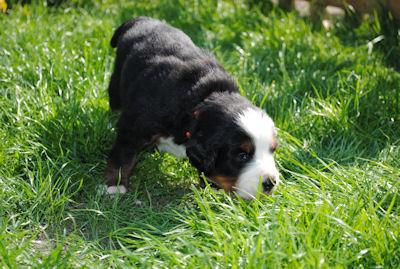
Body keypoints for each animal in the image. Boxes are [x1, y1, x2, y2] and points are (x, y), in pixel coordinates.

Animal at [104, 16, 280, 197]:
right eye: (242, 156)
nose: (271, 182)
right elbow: (123, 156)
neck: (197, 102)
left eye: (272, 150)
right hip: (117, 83)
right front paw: (115, 185)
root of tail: (144, 19)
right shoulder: (135, 126)